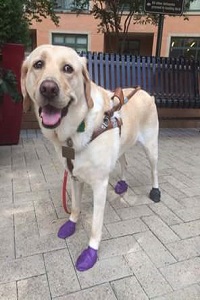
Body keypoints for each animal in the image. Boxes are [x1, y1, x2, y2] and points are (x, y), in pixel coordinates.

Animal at [20, 45, 161, 272]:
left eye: (68, 68)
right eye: (38, 64)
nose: (48, 88)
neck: (75, 130)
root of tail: (146, 93)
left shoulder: (100, 185)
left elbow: (95, 224)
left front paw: (91, 251)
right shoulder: (75, 177)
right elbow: (75, 207)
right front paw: (71, 224)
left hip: (151, 146)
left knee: (154, 169)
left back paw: (155, 191)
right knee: (124, 161)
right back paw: (122, 183)